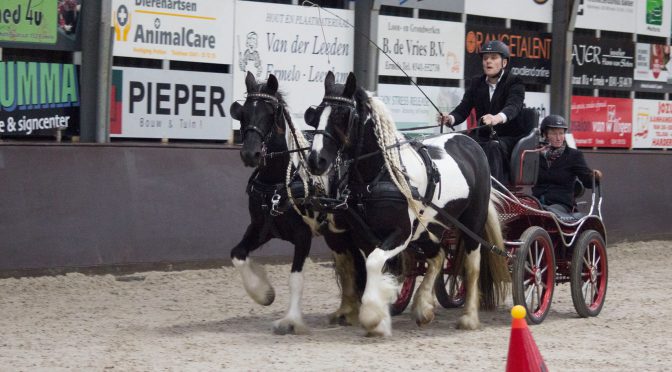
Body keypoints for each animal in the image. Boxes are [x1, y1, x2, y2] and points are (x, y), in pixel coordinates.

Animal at [230, 71, 364, 332]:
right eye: (243, 113)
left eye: (270, 113)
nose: (250, 154)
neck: (279, 181)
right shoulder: (261, 228)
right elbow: (238, 254)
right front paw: (264, 293)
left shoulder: (303, 235)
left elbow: (295, 278)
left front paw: (291, 321)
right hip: (337, 235)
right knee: (349, 266)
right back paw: (346, 311)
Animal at [306, 71, 510, 336]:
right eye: (317, 114)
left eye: (342, 115)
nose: (315, 160)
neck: (383, 174)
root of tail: (470, 143)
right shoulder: (366, 236)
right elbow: (374, 267)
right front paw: (381, 314)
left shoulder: (401, 233)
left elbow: (374, 263)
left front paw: (372, 316)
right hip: (428, 229)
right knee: (438, 256)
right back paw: (423, 308)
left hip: (472, 223)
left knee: (471, 265)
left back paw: (469, 318)